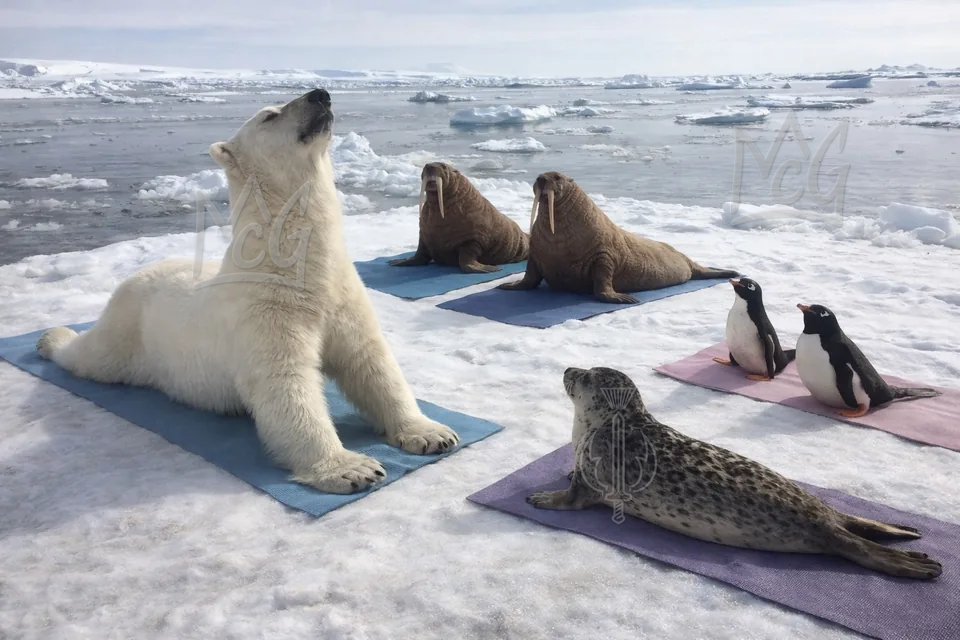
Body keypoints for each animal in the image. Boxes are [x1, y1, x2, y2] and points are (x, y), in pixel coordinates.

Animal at [36, 88, 460, 494]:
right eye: (269, 115)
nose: (320, 94)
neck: (297, 268)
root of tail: (138, 273)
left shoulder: (343, 299)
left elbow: (372, 363)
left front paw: (431, 434)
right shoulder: (266, 310)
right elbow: (286, 383)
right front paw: (351, 469)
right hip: (129, 331)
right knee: (92, 356)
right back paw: (50, 338)